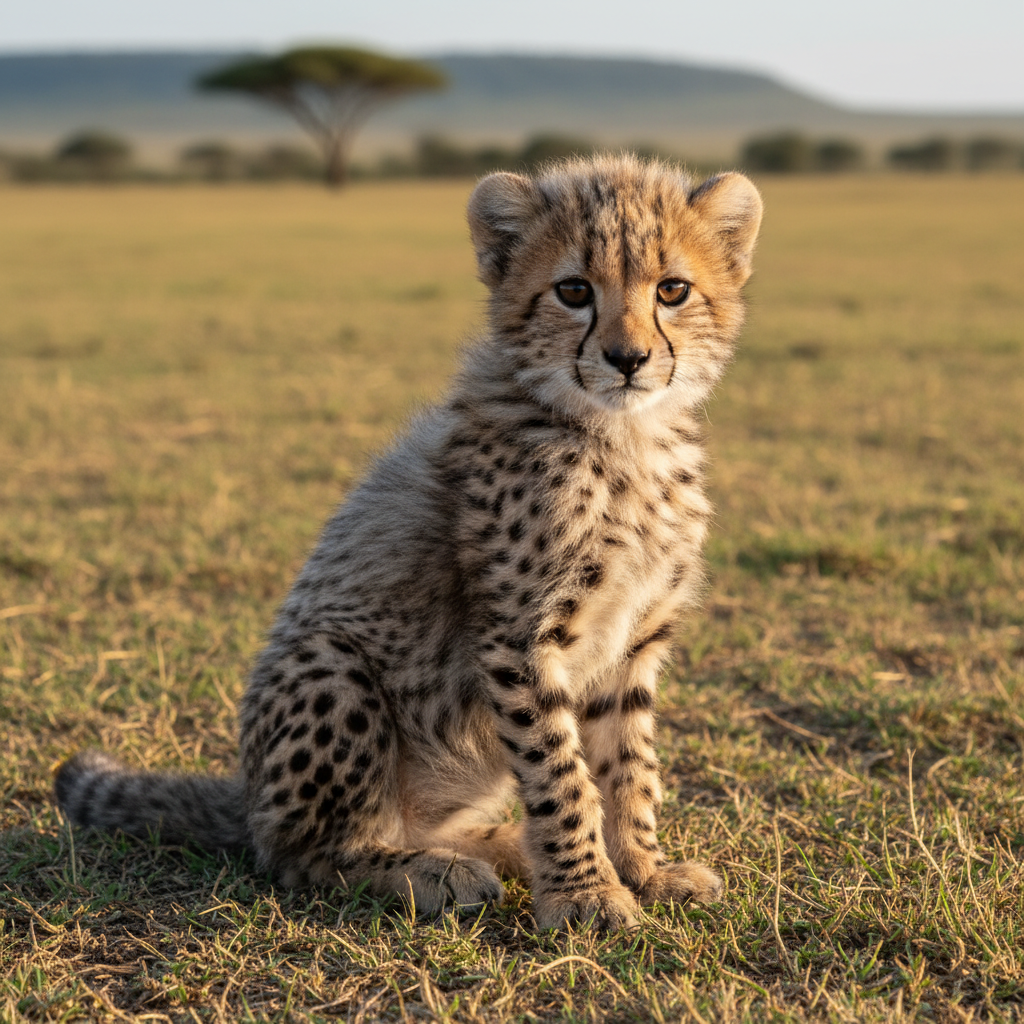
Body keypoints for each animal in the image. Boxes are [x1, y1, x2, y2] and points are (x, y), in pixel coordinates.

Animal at [55, 154, 762, 931]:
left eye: (673, 290)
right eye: (574, 291)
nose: (628, 358)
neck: (625, 437)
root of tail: (249, 799)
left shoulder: (633, 640)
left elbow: (629, 769)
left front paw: (641, 869)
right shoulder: (517, 639)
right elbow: (561, 774)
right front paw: (584, 894)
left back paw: (498, 846)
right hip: (331, 668)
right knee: (302, 855)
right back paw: (431, 870)